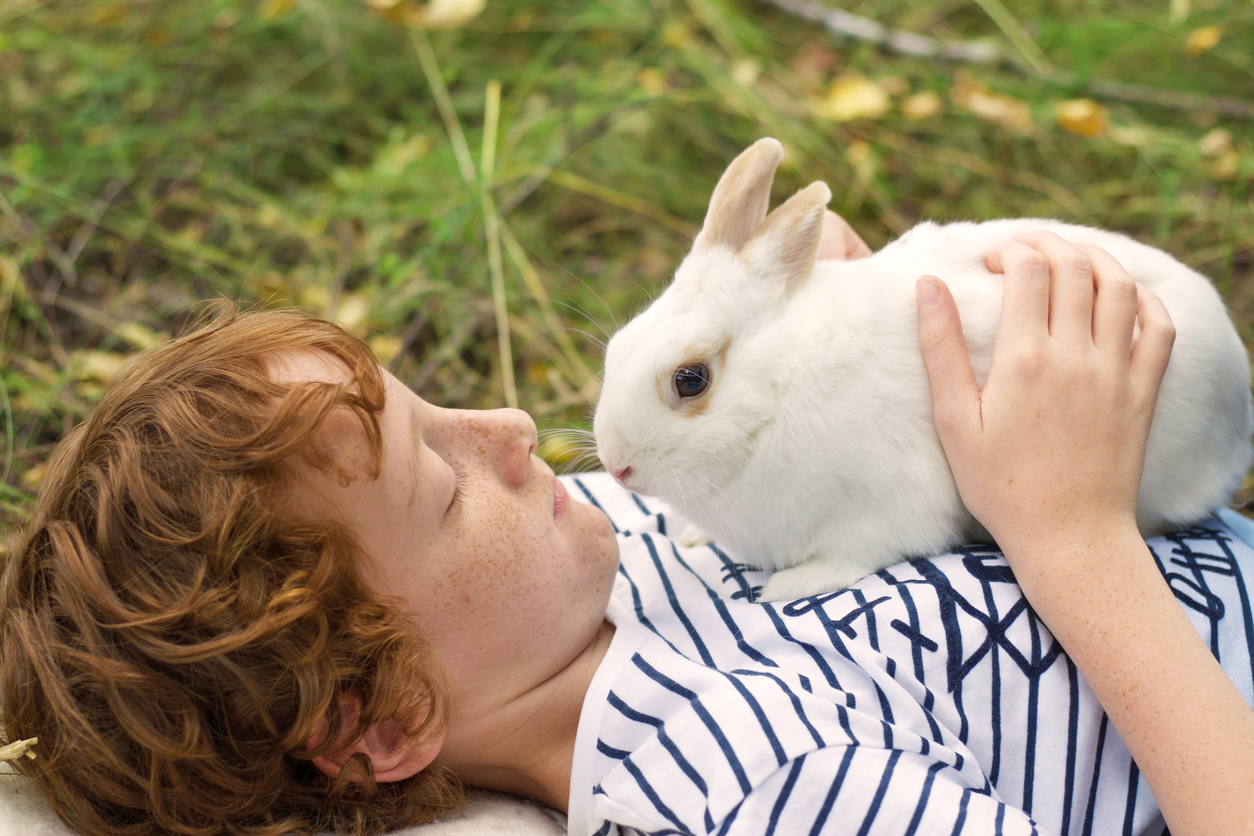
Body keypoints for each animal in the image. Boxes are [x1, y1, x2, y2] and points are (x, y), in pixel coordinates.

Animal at [589, 139, 1254, 601]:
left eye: (690, 379)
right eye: (615, 348)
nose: (619, 467)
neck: (777, 383)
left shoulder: (888, 507)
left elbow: (855, 555)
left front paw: (787, 589)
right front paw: (692, 537)